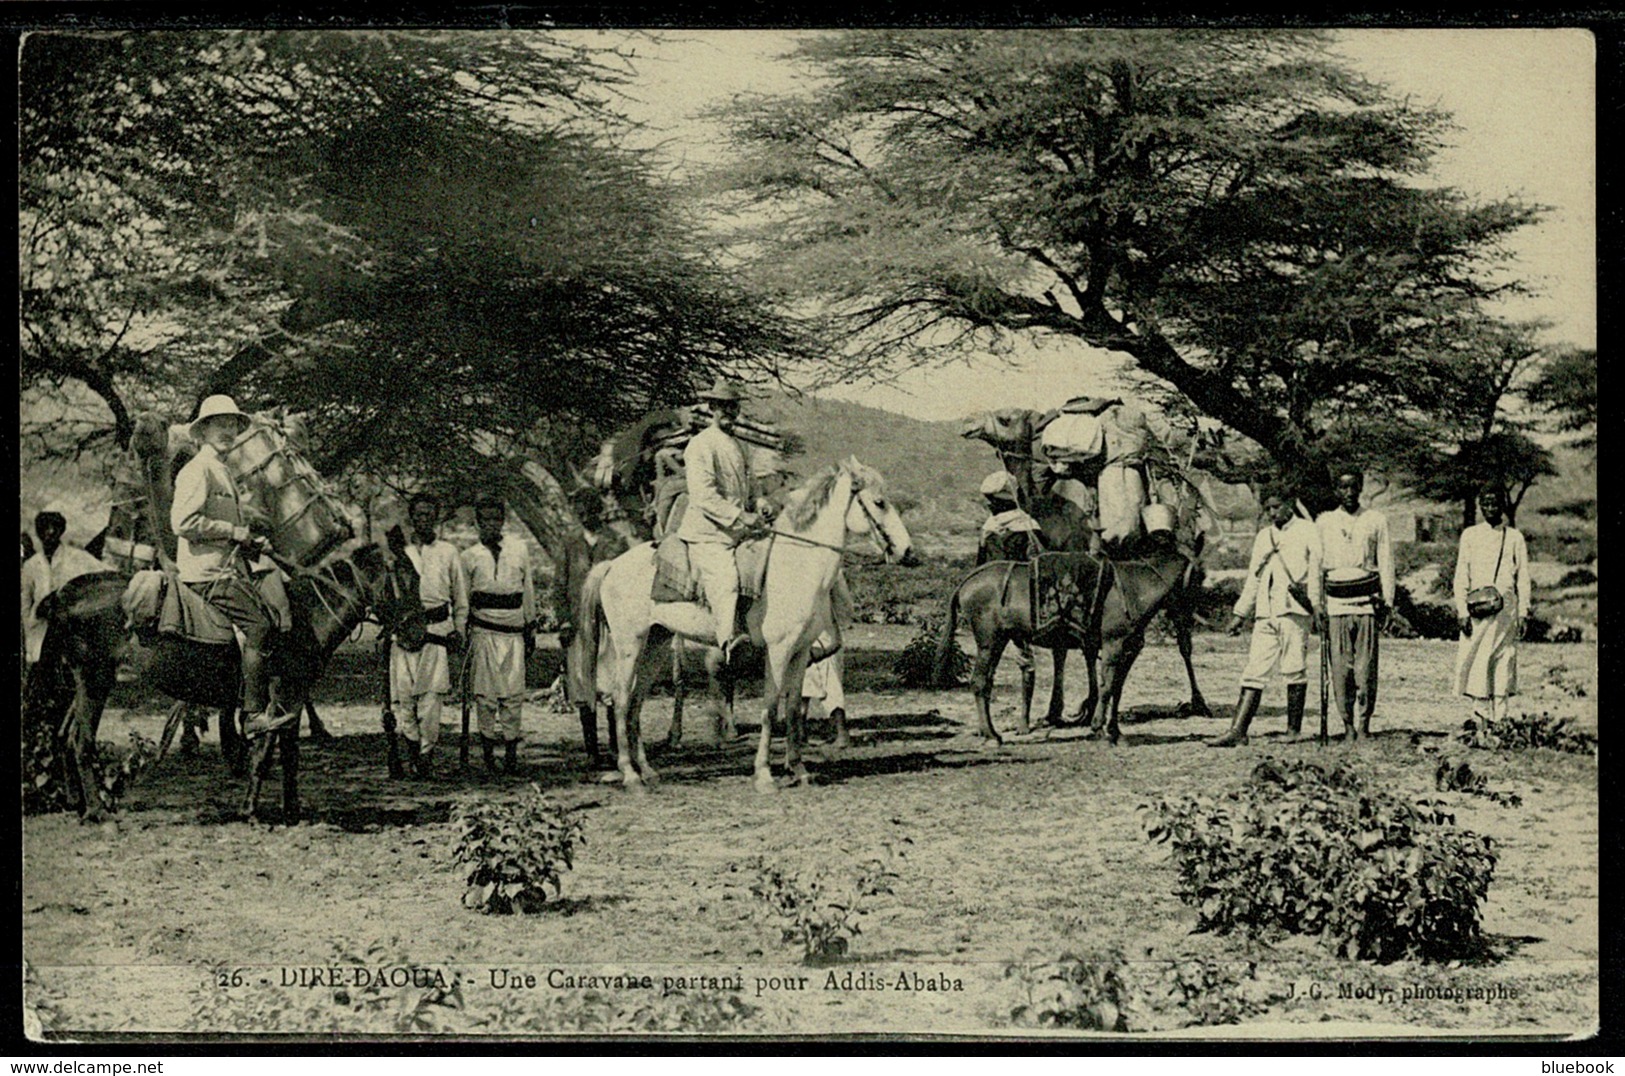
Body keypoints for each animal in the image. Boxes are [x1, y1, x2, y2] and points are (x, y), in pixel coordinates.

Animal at [585, 455, 916, 793]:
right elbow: (769, 709)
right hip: (630, 645)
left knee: (636, 703)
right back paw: (630, 775)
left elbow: (793, 708)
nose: (907, 551)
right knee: (621, 701)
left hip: (656, 644)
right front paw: (765, 775)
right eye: (879, 502)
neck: (796, 565)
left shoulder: (800, 652)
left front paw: (799, 770)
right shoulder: (778, 650)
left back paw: (648, 772)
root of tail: (611, 566)